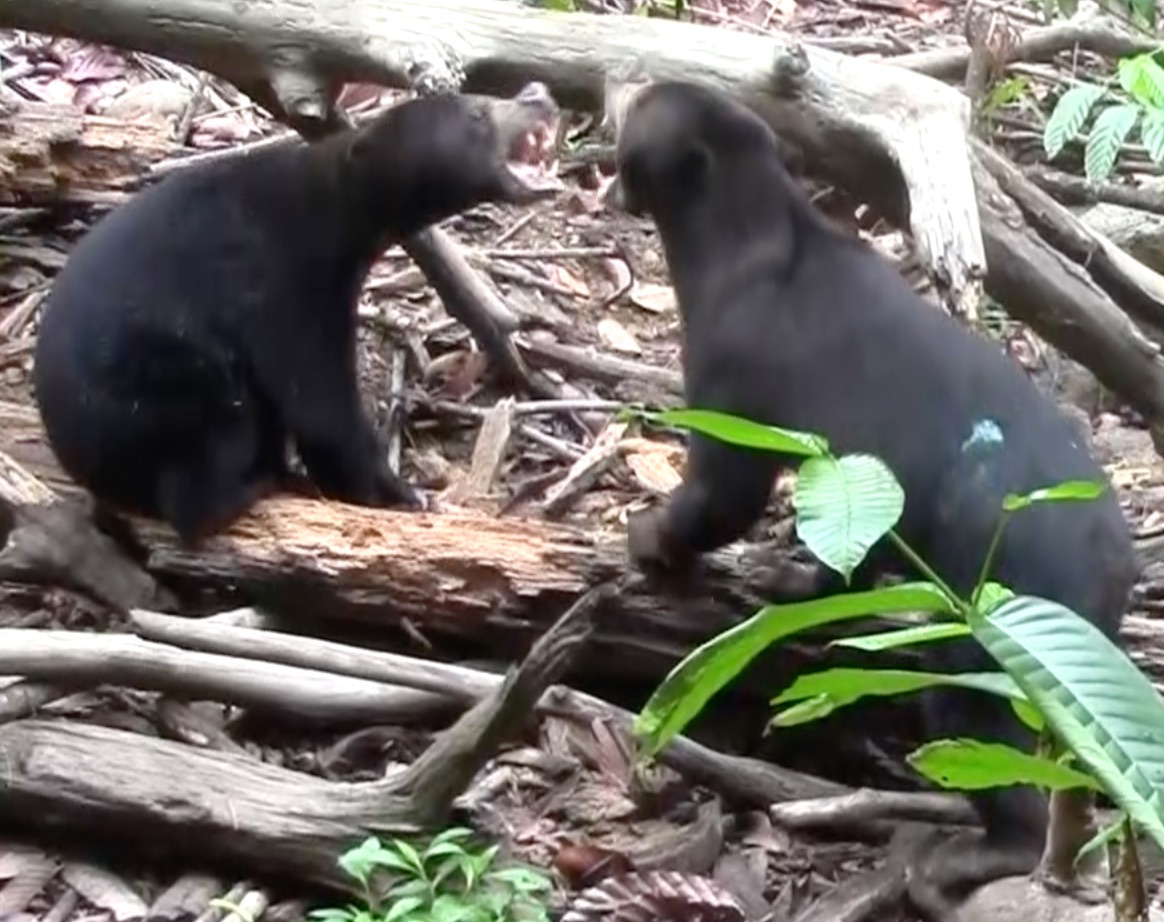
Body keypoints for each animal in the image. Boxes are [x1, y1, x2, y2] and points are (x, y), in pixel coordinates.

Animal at [32, 83, 563, 546]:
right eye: (478, 113)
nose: (538, 94)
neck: (339, 211)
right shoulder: (286, 287)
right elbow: (319, 404)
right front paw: (398, 493)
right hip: (158, 386)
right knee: (210, 448)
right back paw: (261, 483)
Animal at [602, 79, 1139, 920]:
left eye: (643, 102)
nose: (621, 79)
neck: (742, 237)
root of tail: (1116, 558)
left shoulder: (732, 392)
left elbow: (721, 492)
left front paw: (649, 538)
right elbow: (843, 554)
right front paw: (789, 579)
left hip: (990, 628)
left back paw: (957, 861)